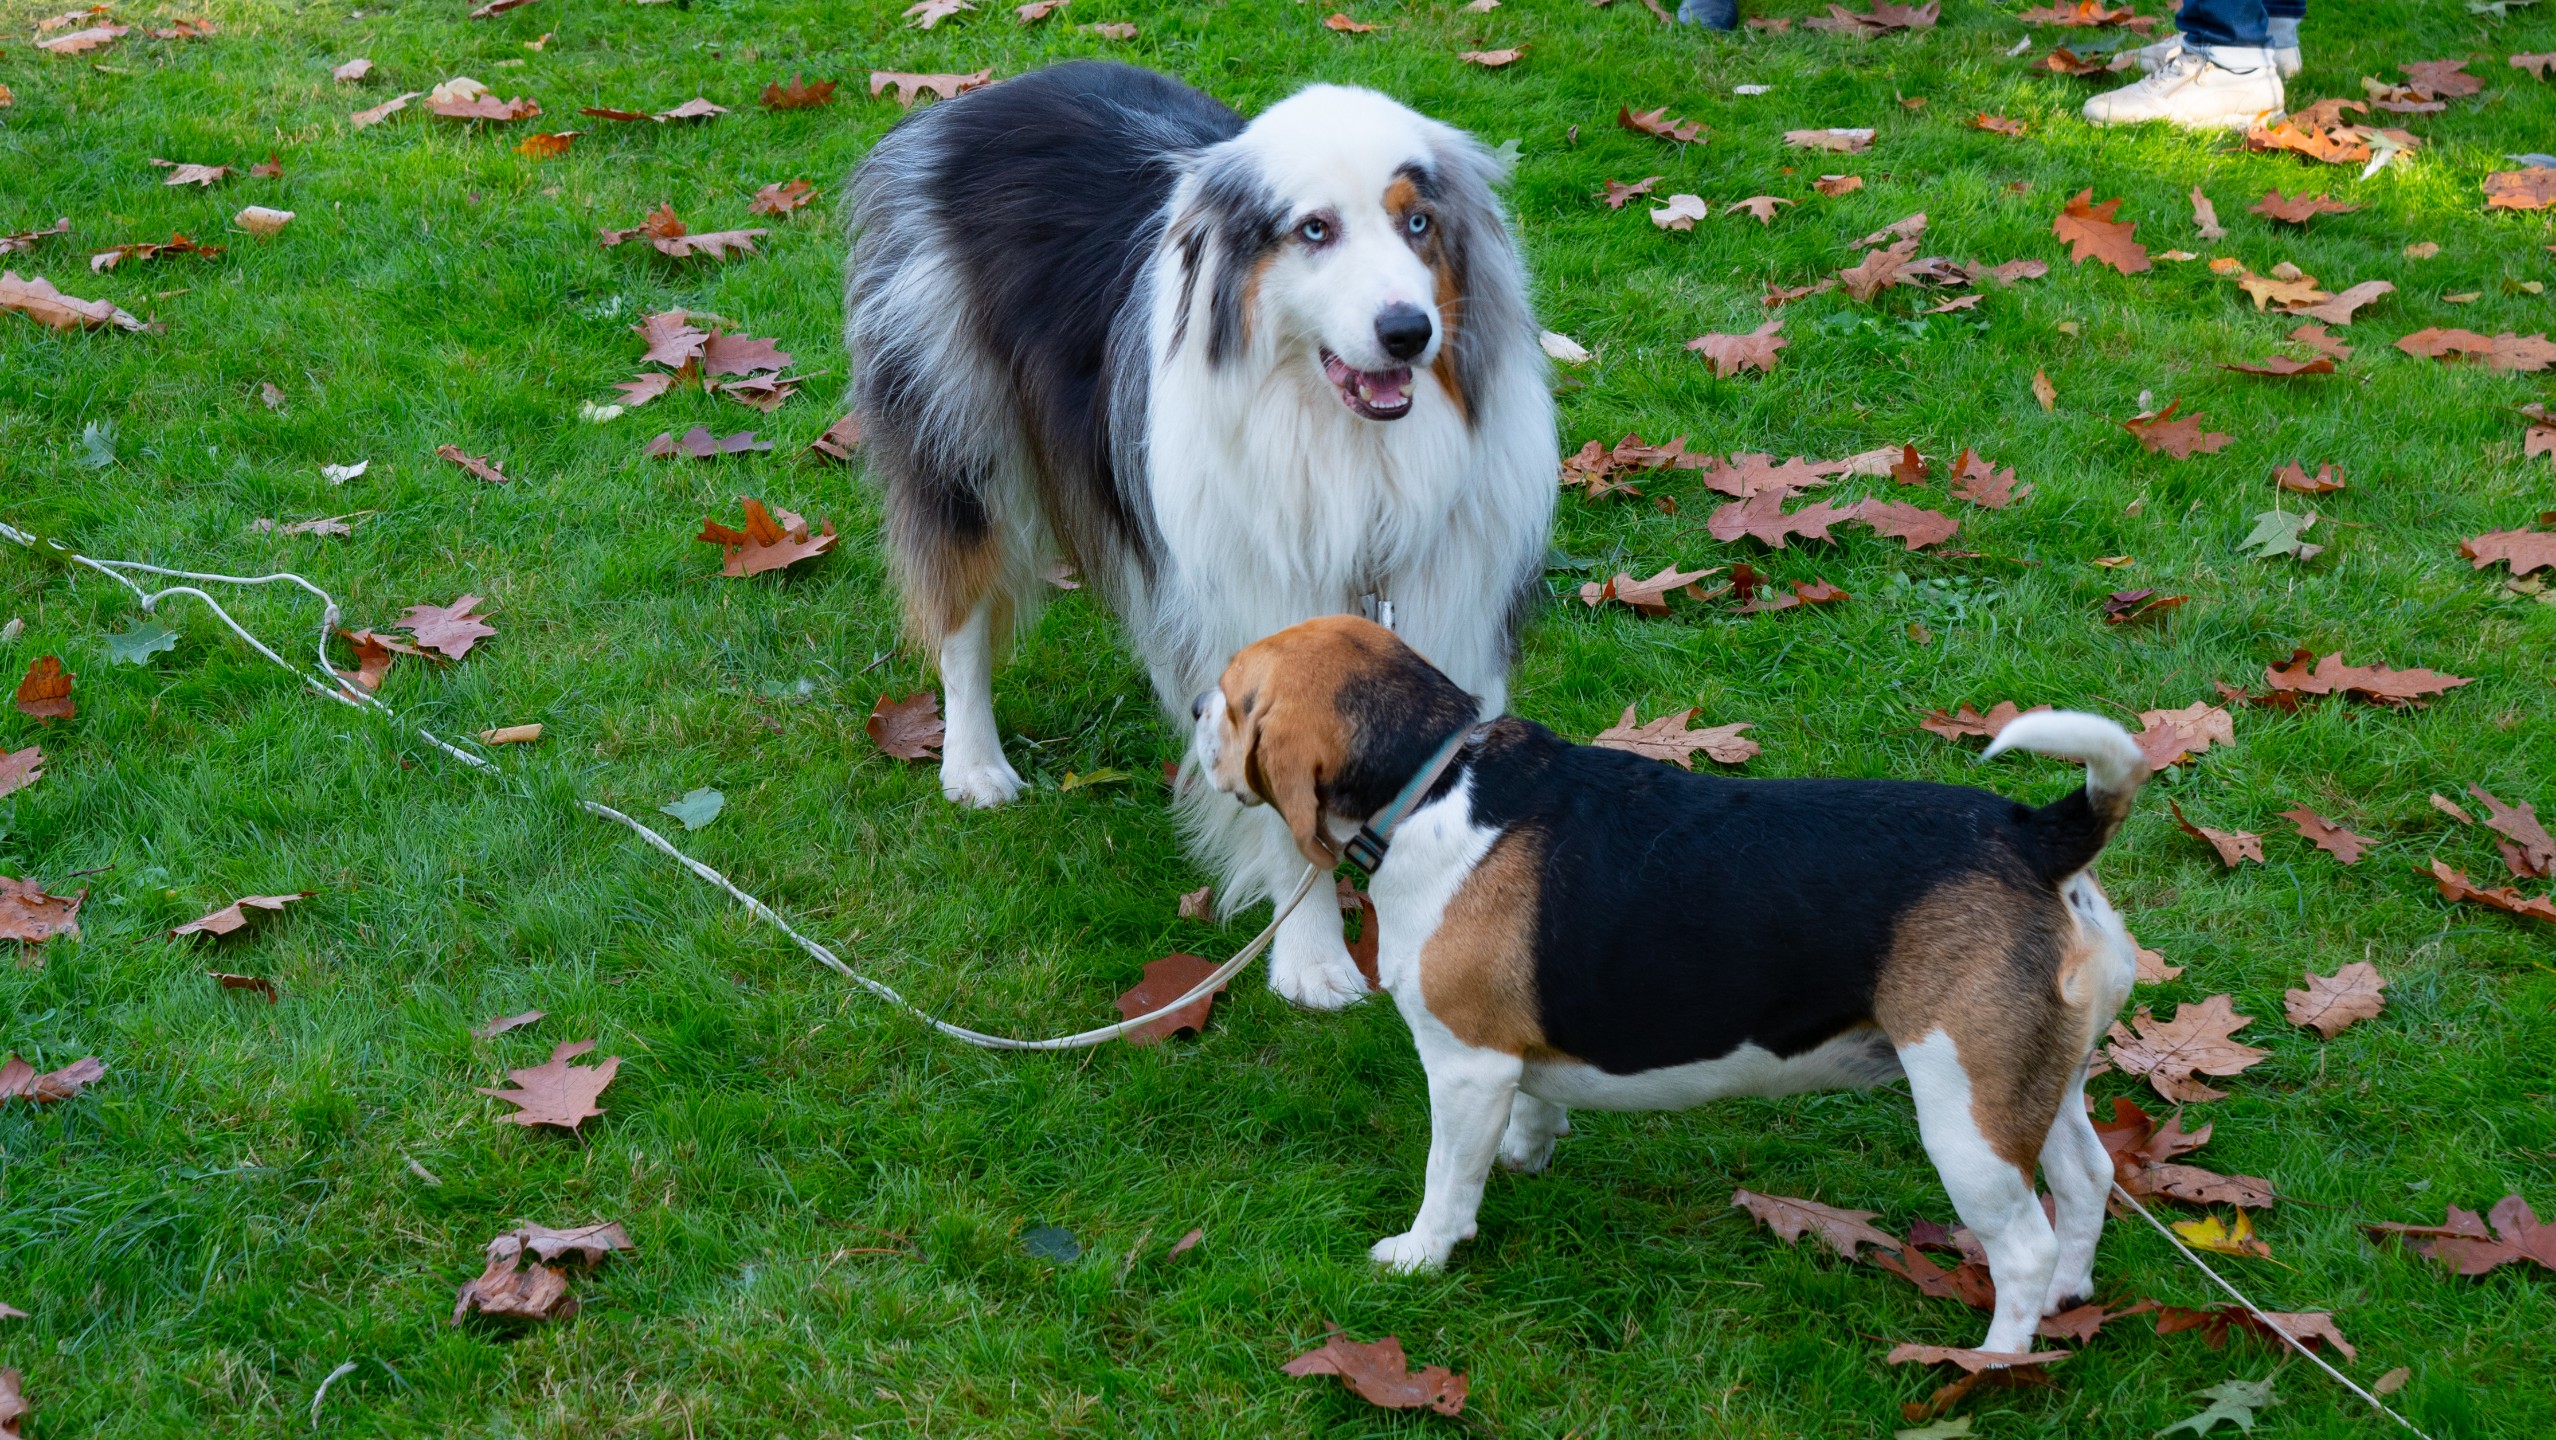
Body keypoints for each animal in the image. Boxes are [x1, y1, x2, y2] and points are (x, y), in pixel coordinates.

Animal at [846, 62, 1557, 1010]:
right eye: (1314, 229)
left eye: (1419, 223)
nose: (1410, 332)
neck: (1350, 457)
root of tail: (983, 98)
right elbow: (1287, 818)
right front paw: (1313, 960)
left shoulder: (1450, 605)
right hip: (956, 428)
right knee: (961, 613)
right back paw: (973, 765)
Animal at [1191, 617, 2149, 1355]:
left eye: (1235, 698)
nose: (1196, 709)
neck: (1435, 782)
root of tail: (2037, 835)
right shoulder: (1510, 1060)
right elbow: (1530, 1109)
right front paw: (1526, 1154)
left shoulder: (1466, 1065)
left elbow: (1447, 1178)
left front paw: (1422, 1255)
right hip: (2039, 1082)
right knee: (2087, 1181)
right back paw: (2066, 1298)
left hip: (1966, 1119)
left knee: (2022, 1246)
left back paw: (1994, 1362)